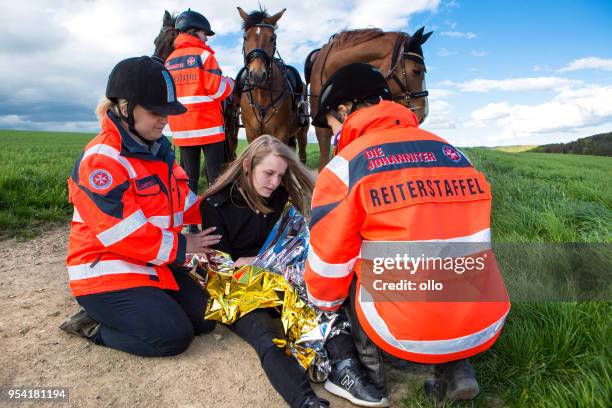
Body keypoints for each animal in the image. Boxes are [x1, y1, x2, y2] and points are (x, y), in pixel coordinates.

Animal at [237, 5, 308, 163]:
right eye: (245, 37)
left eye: (272, 38)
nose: (257, 75)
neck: (261, 95)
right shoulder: (251, 135)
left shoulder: (281, 134)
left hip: (302, 130)